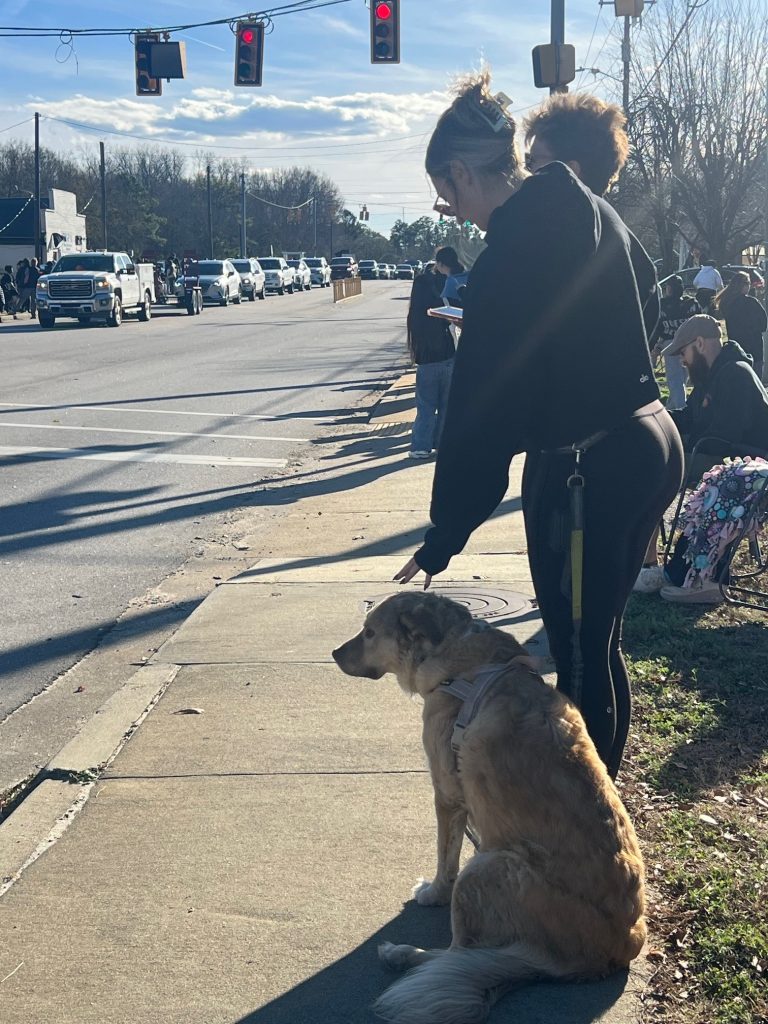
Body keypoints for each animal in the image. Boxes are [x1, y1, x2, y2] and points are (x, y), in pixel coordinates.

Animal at [332, 591, 646, 1024]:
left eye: (369, 633)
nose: (333, 654)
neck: (460, 659)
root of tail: (614, 952)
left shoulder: (447, 794)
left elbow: (445, 859)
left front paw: (433, 892)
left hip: (486, 867)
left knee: (457, 954)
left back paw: (404, 955)